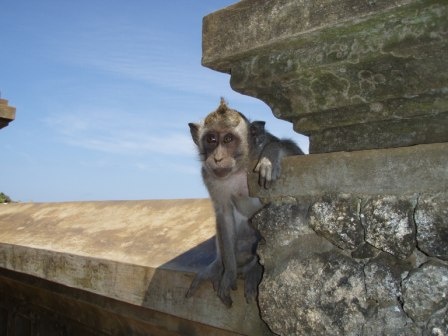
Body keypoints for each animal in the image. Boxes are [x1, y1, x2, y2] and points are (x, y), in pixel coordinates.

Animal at [186, 98, 304, 308]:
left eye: (228, 139)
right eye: (211, 139)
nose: (217, 158)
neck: (240, 168)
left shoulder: (262, 146)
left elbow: (293, 152)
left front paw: (270, 157)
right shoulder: (209, 175)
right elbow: (224, 214)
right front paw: (229, 274)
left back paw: (253, 270)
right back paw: (219, 266)